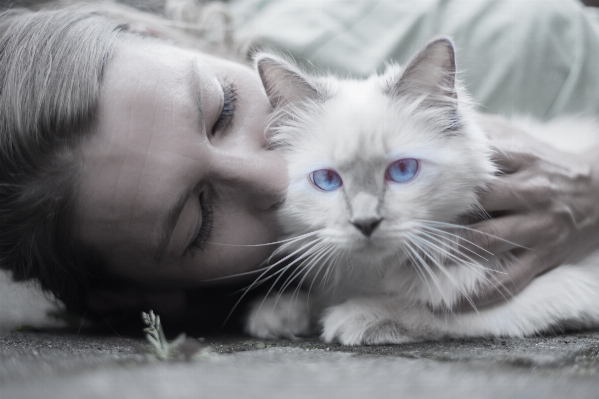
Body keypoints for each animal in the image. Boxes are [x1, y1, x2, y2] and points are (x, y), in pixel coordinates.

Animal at [243, 38, 599, 346]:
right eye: (328, 180)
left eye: (403, 171)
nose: (366, 223)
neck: (373, 274)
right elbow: (315, 298)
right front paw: (278, 314)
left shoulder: (552, 287)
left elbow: (438, 309)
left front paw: (355, 316)